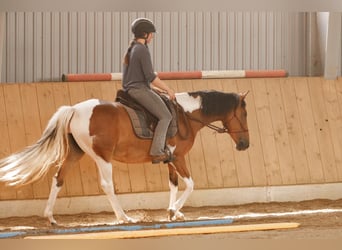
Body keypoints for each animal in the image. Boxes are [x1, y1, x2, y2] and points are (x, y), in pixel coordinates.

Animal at [0, 89, 248, 225]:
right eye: (244, 113)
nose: (245, 144)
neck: (185, 116)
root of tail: (75, 109)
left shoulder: (169, 160)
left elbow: (174, 185)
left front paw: (174, 213)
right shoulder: (178, 157)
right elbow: (190, 184)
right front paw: (173, 211)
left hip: (75, 153)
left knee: (58, 179)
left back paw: (50, 217)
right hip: (102, 157)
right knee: (107, 185)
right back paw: (123, 217)